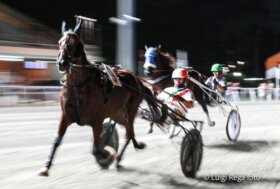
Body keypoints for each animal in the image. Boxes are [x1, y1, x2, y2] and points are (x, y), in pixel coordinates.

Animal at [38, 21, 163, 176]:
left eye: (74, 43)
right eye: (59, 42)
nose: (62, 63)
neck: (79, 86)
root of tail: (137, 80)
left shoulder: (98, 120)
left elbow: (97, 148)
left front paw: (107, 153)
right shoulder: (66, 116)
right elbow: (57, 140)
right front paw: (46, 166)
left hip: (132, 108)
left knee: (128, 132)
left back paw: (120, 156)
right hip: (116, 112)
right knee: (129, 131)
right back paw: (125, 154)